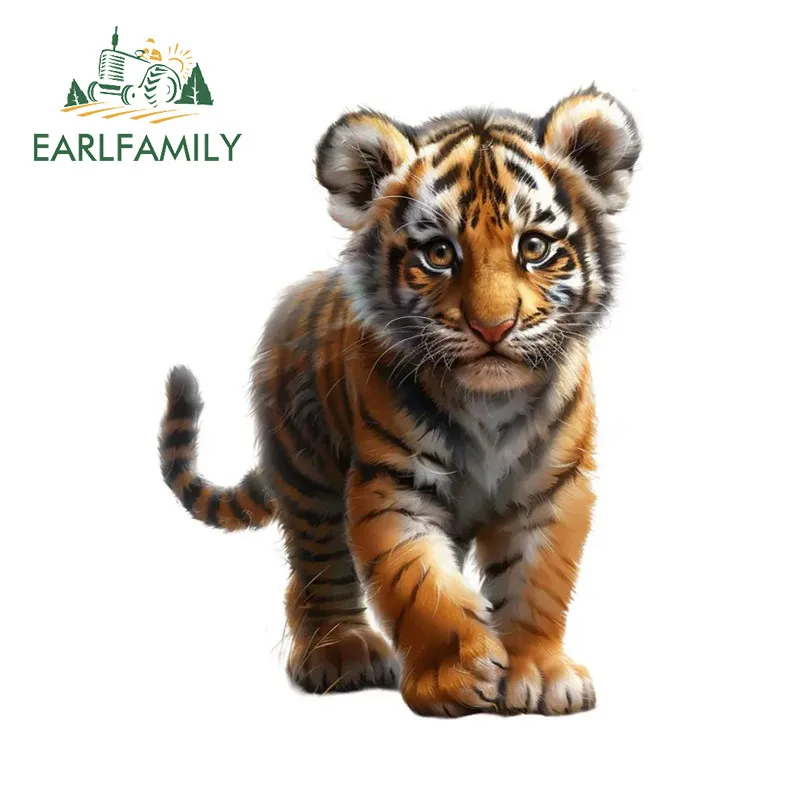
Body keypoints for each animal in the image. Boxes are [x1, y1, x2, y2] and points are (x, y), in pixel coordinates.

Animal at [159, 86, 640, 717]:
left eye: (534, 247)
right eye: (439, 253)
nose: (493, 327)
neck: (489, 407)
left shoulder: (552, 489)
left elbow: (537, 582)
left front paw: (538, 671)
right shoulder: (393, 485)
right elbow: (422, 585)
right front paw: (456, 675)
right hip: (308, 473)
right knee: (317, 569)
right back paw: (340, 652)